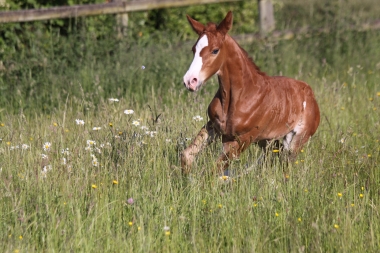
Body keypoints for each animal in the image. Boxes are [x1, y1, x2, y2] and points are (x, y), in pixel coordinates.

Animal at [183, 11, 320, 174]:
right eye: (193, 49)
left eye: (215, 50)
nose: (190, 81)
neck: (240, 95)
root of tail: (310, 92)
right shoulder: (214, 126)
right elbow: (187, 155)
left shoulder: (243, 139)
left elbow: (215, 169)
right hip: (266, 140)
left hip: (295, 141)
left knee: (285, 164)